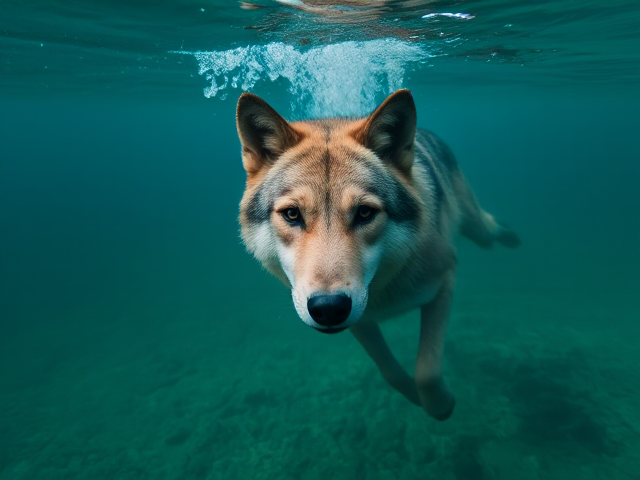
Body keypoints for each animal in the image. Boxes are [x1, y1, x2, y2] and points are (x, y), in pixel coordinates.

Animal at [235, 89, 520, 420]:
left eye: (365, 213)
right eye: (292, 215)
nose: (328, 308)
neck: (386, 291)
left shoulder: (446, 277)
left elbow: (427, 369)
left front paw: (440, 406)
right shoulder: (361, 318)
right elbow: (389, 371)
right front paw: (416, 397)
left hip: (475, 228)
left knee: (487, 227)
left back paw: (510, 234)